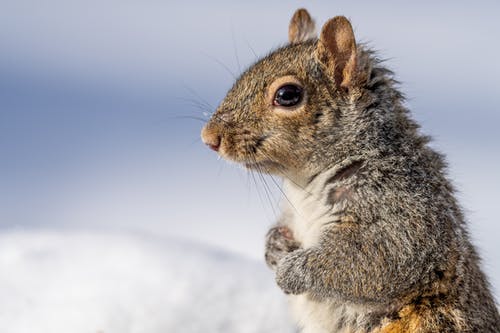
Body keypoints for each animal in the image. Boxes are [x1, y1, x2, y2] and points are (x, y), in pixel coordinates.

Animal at [200, 7, 500, 332]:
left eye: (288, 94)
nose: (209, 137)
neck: (302, 185)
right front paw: (274, 246)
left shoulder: (403, 213)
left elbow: (376, 260)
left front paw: (292, 271)